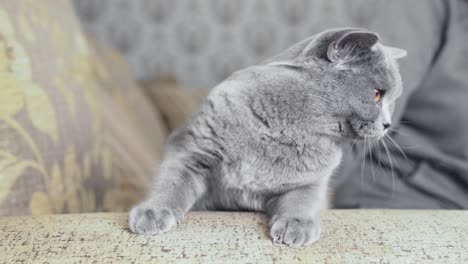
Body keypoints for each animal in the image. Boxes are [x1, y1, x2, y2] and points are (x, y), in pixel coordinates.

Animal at [128, 28, 406, 248]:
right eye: (377, 94)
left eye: (391, 100)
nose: (388, 124)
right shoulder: (192, 148)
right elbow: (173, 183)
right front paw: (153, 212)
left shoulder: (311, 182)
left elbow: (302, 201)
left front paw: (297, 226)